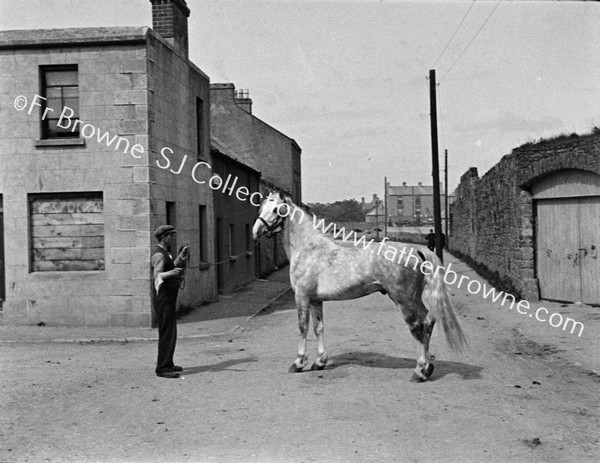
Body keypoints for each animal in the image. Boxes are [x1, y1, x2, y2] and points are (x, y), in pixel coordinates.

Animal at [251, 191, 466, 380]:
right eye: (262, 206)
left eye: (277, 209)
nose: (256, 231)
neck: (308, 250)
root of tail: (416, 251)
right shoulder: (315, 300)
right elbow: (318, 328)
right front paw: (319, 362)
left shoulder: (302, 297)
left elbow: (302, 327)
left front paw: (298, 363)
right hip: (413, 299)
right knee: (429, 320)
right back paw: (428, 368)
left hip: (404, 299)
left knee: (418, 325)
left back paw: (420, 371)